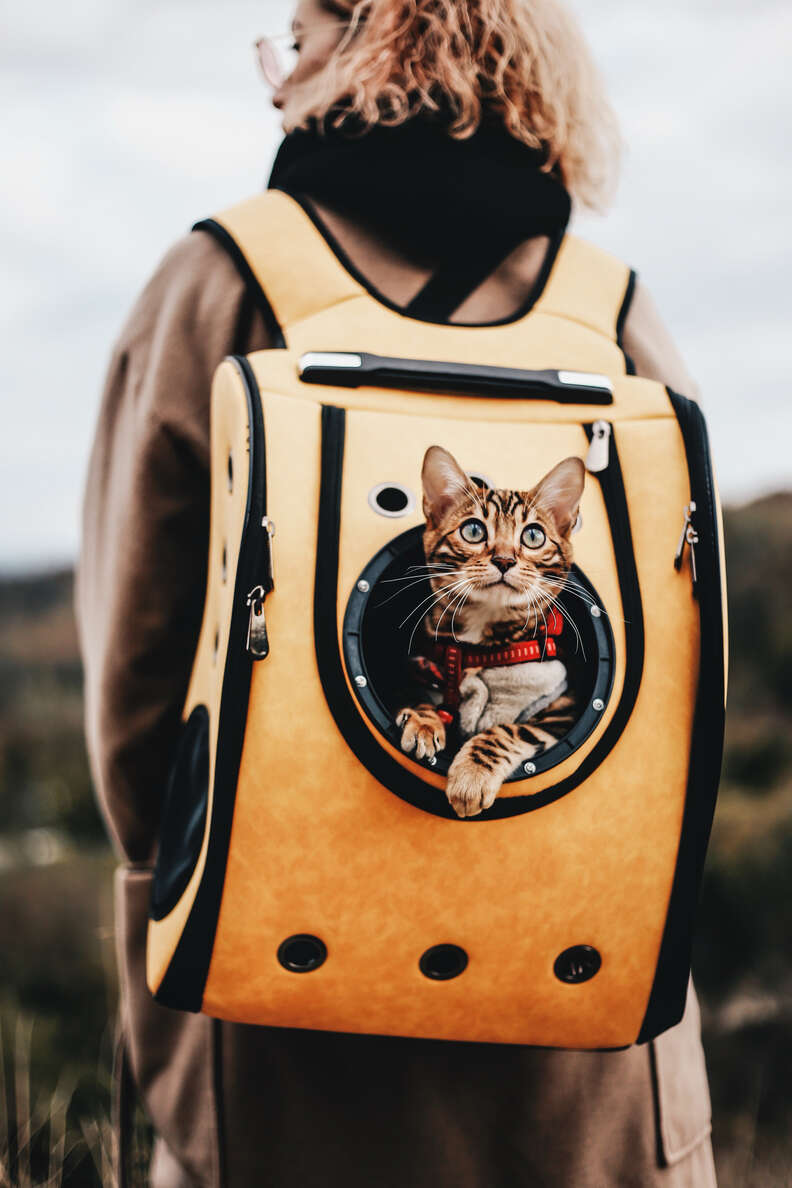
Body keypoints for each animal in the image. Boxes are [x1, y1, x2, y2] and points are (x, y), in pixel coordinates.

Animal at [398, 446, 586, 817]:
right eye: (473, 530)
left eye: (533, 536)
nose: (504, 559)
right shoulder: (424, 670)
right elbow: (417, 696)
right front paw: (423, 722)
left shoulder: (563, 710)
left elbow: (507, 730)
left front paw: (472, 776)